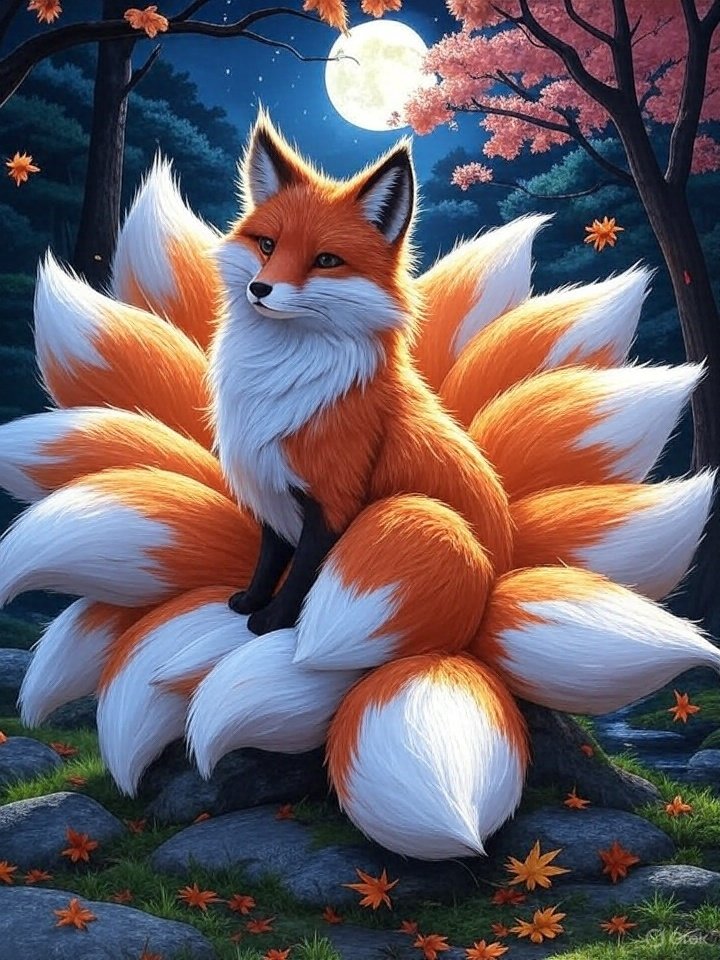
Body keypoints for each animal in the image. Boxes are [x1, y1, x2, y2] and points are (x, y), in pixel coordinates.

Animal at [0, 111, 718, 861]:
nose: (261, 290)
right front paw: (245, 603)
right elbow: (269, 557)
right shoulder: (271, 494)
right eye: (267, 245)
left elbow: (302, 579)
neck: (285, 386)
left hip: (423, 525)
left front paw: (273, 626)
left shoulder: (333, 502)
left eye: (325, 261)